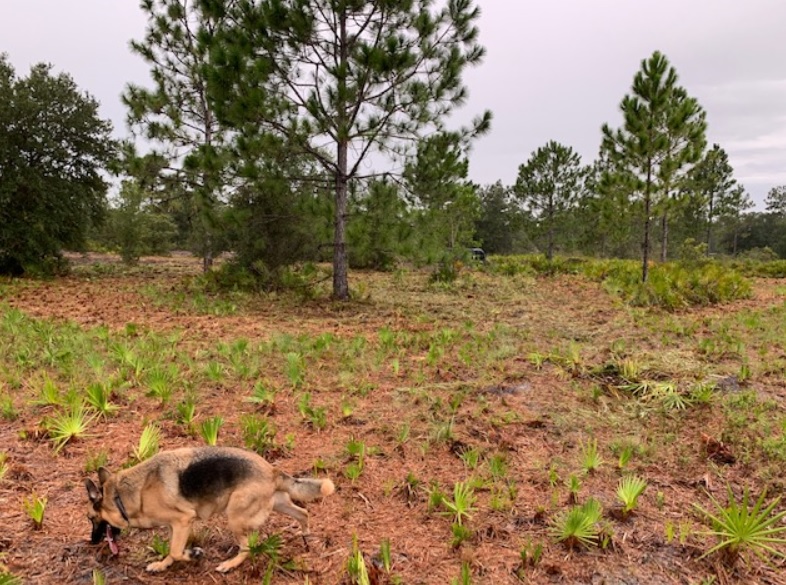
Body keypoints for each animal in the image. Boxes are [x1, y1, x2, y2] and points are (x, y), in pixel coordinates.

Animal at [85, 448, 334, 572]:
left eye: (91, 519)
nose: (92, 542)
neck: (120, 496)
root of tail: (272, 470)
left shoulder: (183, 520)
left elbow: (176, 551)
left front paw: (192, 554)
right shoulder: (175, 526)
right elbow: (171, 549)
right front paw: (163, 565)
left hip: (234, 516)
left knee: (247, 548)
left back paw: (229, 564)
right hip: (280, 503)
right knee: (303, 513)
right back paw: (306, 537)